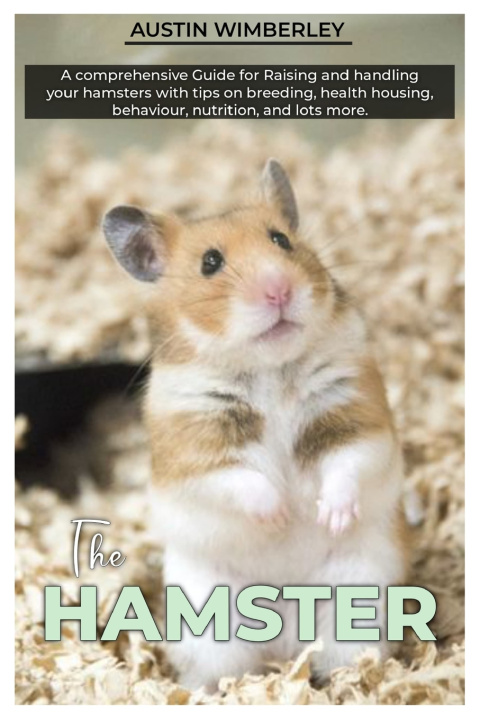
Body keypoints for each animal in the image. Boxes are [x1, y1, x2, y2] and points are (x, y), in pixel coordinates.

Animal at [103, 159, 408, 692]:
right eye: (210, 262)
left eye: (281, 240)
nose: (279, 290)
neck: (268, 368)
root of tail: (282, 644)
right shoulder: (197, 453)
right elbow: (241, 482)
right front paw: (282, 516)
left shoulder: (358, 416)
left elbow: (348, 463)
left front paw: (327, 516)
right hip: (209, 630)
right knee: (221, 672)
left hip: (357, 600)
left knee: (342, 658)